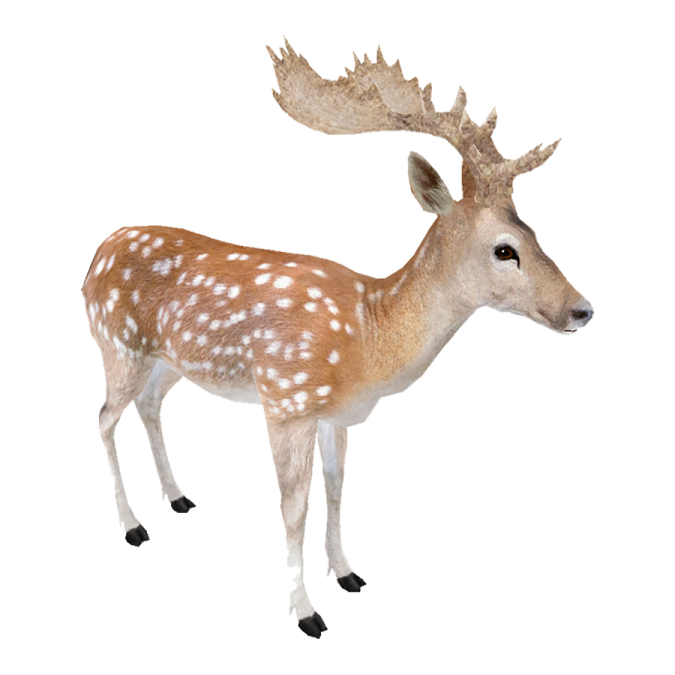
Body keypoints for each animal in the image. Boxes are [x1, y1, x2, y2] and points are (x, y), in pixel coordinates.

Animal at [81, 36, 593, 638]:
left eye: (534, 232)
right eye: (504, 249)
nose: (582, 309)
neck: (368, 337)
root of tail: (99, 253)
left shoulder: (340, 414)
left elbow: (337, 488)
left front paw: (347, 573)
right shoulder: (285, 402)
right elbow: (294, 508)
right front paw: (305, 611)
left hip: (169, 360)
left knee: (150, 406)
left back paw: (178, 497)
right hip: (116, 343)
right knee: (105, 416)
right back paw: (132, 524)